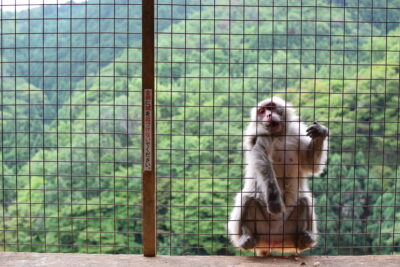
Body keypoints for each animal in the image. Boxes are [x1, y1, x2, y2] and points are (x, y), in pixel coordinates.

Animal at [228, 97, 328, 258]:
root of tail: (273, 241)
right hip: (261, 231)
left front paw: (320, 132)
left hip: (288, 232)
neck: (280, 136)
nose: (268, 115)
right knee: (246, 198)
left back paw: (305, 239)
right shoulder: (261, 136)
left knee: (305, 200)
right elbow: (262, 160)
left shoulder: (295, 134)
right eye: (262, 111)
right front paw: (275, 202)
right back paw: (245, 238)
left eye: (271, 107)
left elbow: (311, 165)